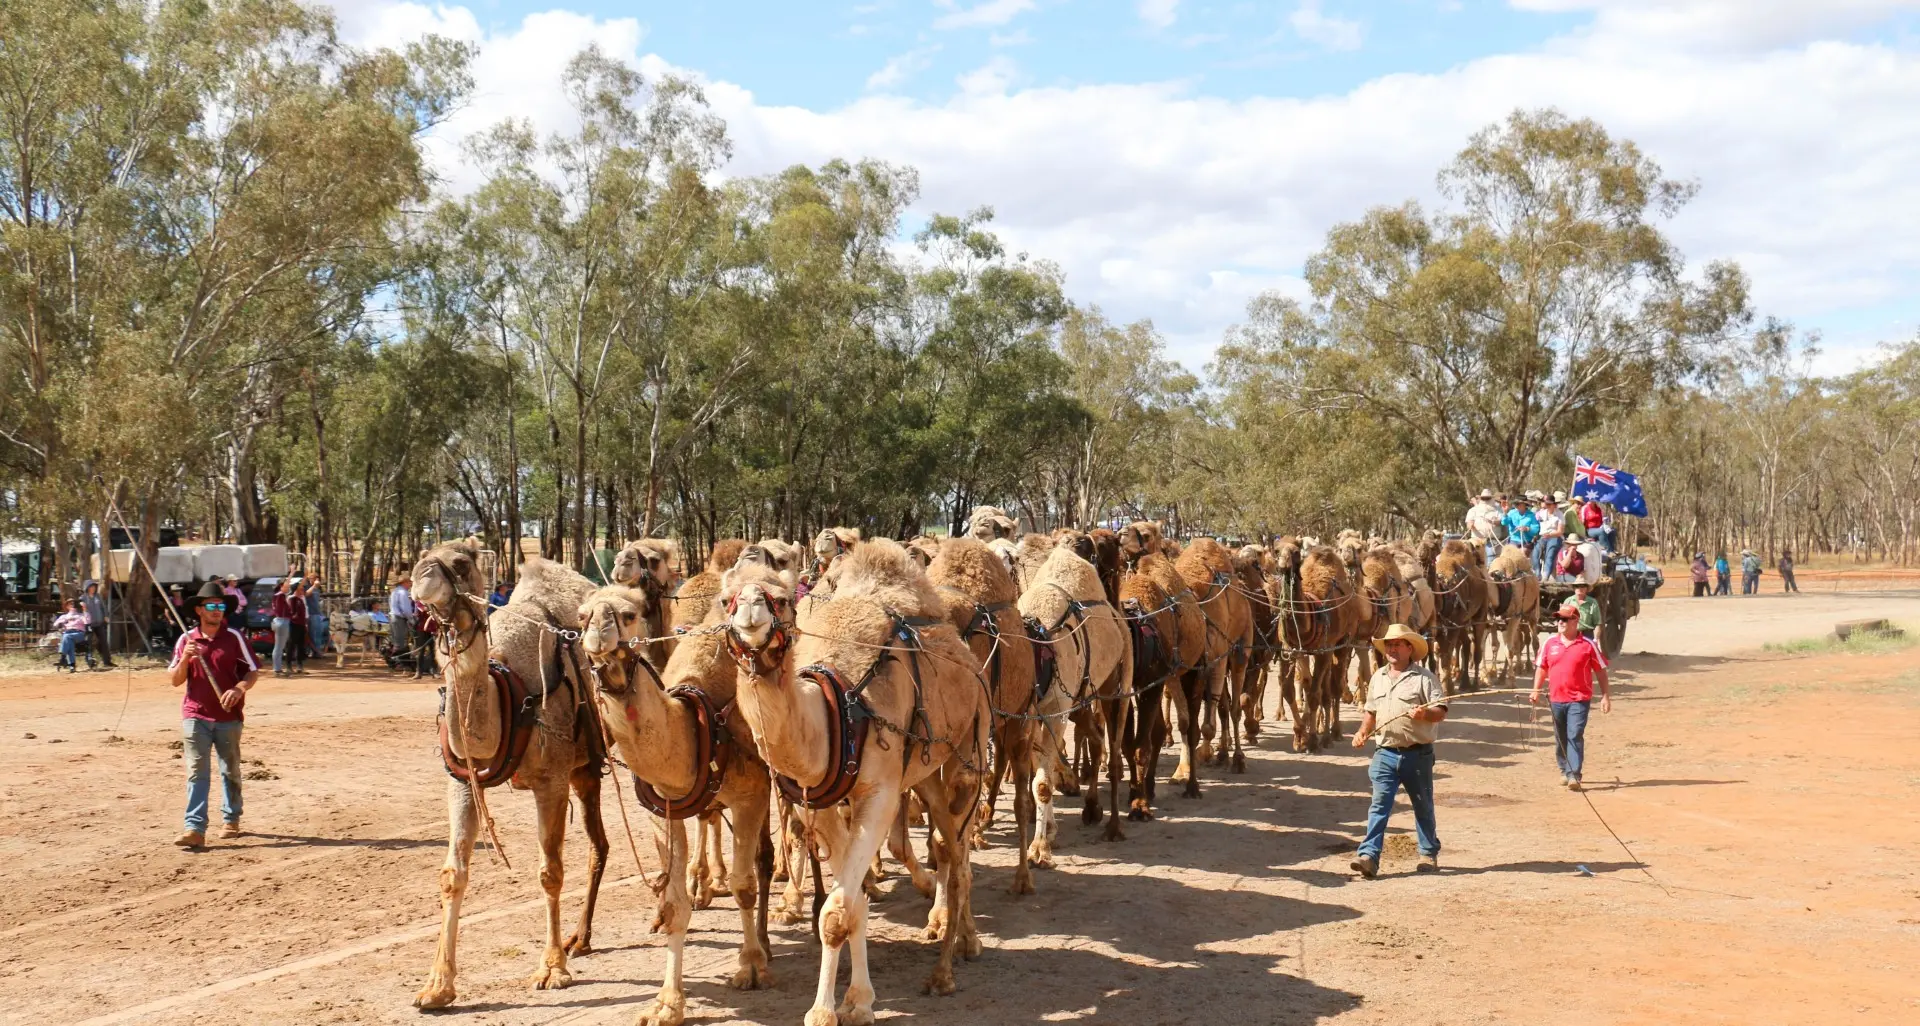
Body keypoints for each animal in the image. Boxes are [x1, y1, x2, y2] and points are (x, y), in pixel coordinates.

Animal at [411, 543, 608, 1010]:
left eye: (461, 562)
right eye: (421, 556)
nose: (421, 576)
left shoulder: (551, 780)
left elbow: (550, 871)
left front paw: (552, 970)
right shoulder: (463, 782)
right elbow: (452, 875)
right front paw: (437, 986)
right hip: (586, 770)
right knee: (601, 845)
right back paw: (581, 938)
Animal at [576, 582, 775, 1026]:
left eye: (629, 614)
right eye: (580, 616)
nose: (598, 629)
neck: (699, 729)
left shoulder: (751, 795)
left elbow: (744, 886)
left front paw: (750, 966)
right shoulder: (662, 812)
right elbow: (674, 904)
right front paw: (666, 1003)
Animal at [721, 541, 991, 1025]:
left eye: (783, 599)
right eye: (724, 599)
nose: (751, 609)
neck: (837, 711)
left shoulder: (878, 794)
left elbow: (837, 911)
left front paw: (824, 1011)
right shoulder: (822, 801)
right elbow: (853, 904)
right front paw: (856, 1001)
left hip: (969, 751)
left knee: (959, 855)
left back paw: (949, 963)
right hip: (924, 774)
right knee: (948, 842)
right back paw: (960, 938)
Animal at [1431, 539, 1492, 694]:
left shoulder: (1453, 625)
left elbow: (1447, 652)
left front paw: (1447, 689)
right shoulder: (1439, 625)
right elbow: (1440, 651)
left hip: (1480, 614)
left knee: (1476, 649)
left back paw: (1475, 684)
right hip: (1463, 622)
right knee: (1466, 643)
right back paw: (1464, 682)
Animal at [1484, 544, 1540, 687]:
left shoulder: (1514, 617)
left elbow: (1510, 649)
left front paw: (1511, 681)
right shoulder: (1494, 619)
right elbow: (1496, 645)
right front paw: (1495, 674)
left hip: (1532, 614)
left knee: (1534, 642)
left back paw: (1532, 673)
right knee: (1517, 642)